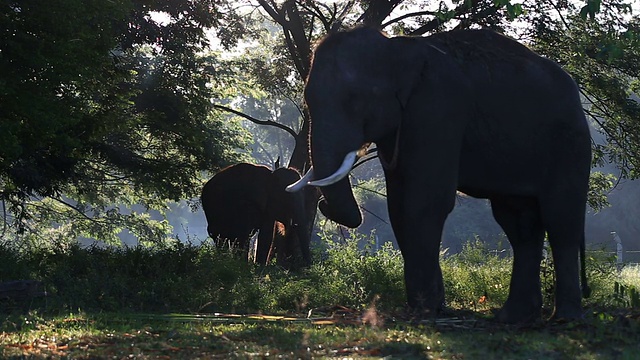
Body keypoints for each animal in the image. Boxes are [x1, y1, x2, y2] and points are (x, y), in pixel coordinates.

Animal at [288, 26, 592, 322]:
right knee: (519, 224)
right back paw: (512, 317)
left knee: (561, 219)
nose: (322, 204)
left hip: (570, 141)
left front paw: (425, 312)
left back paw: (564, 319)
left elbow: (424, 202)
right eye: (307, 101)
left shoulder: (438, 108)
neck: (396, 48)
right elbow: (398, 205)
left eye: (355, 100)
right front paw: (430, 307)